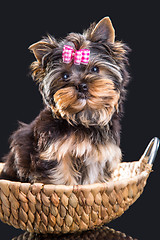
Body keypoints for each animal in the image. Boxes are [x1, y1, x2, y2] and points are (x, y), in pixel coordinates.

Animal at [0, 17, 130, 186]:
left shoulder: (98, 154)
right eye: (65, 76)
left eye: (95, 69)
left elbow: (93, 179)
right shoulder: (55, 152)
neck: (83, 118)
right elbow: (62, 178)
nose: (81, 85)